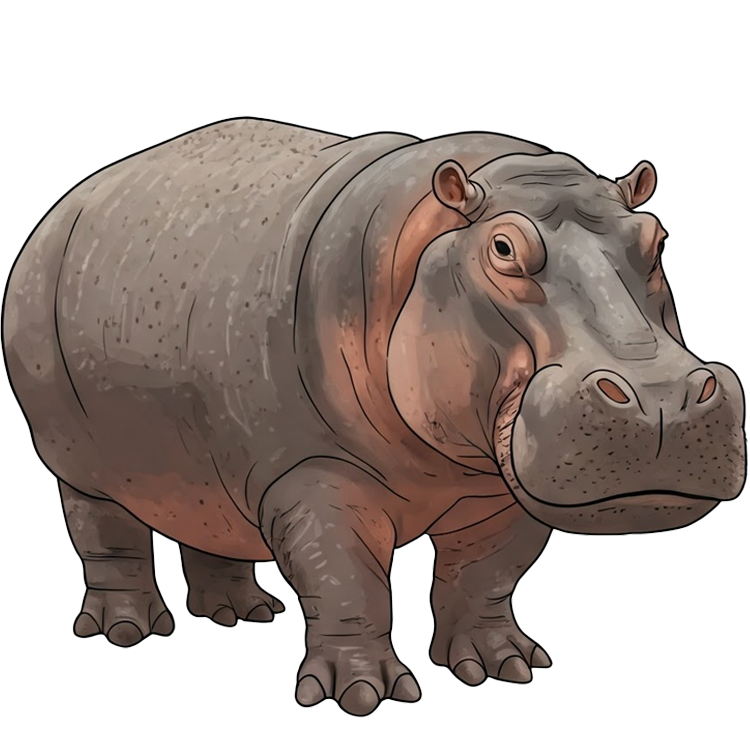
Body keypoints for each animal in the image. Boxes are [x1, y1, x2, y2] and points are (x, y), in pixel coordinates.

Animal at [2, 118, 746, 716]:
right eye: (503, 248)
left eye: (657, 240)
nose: (659, 399)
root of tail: (67, 201)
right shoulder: (312, 474)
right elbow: (345, 578)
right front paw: (363, 696)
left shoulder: (498, 491)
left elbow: (487, 573)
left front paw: (502, 667)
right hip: (75, 455)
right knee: (105, 532)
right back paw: (126, 630)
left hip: (204, 458)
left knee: (209, 522)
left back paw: (242, 616)